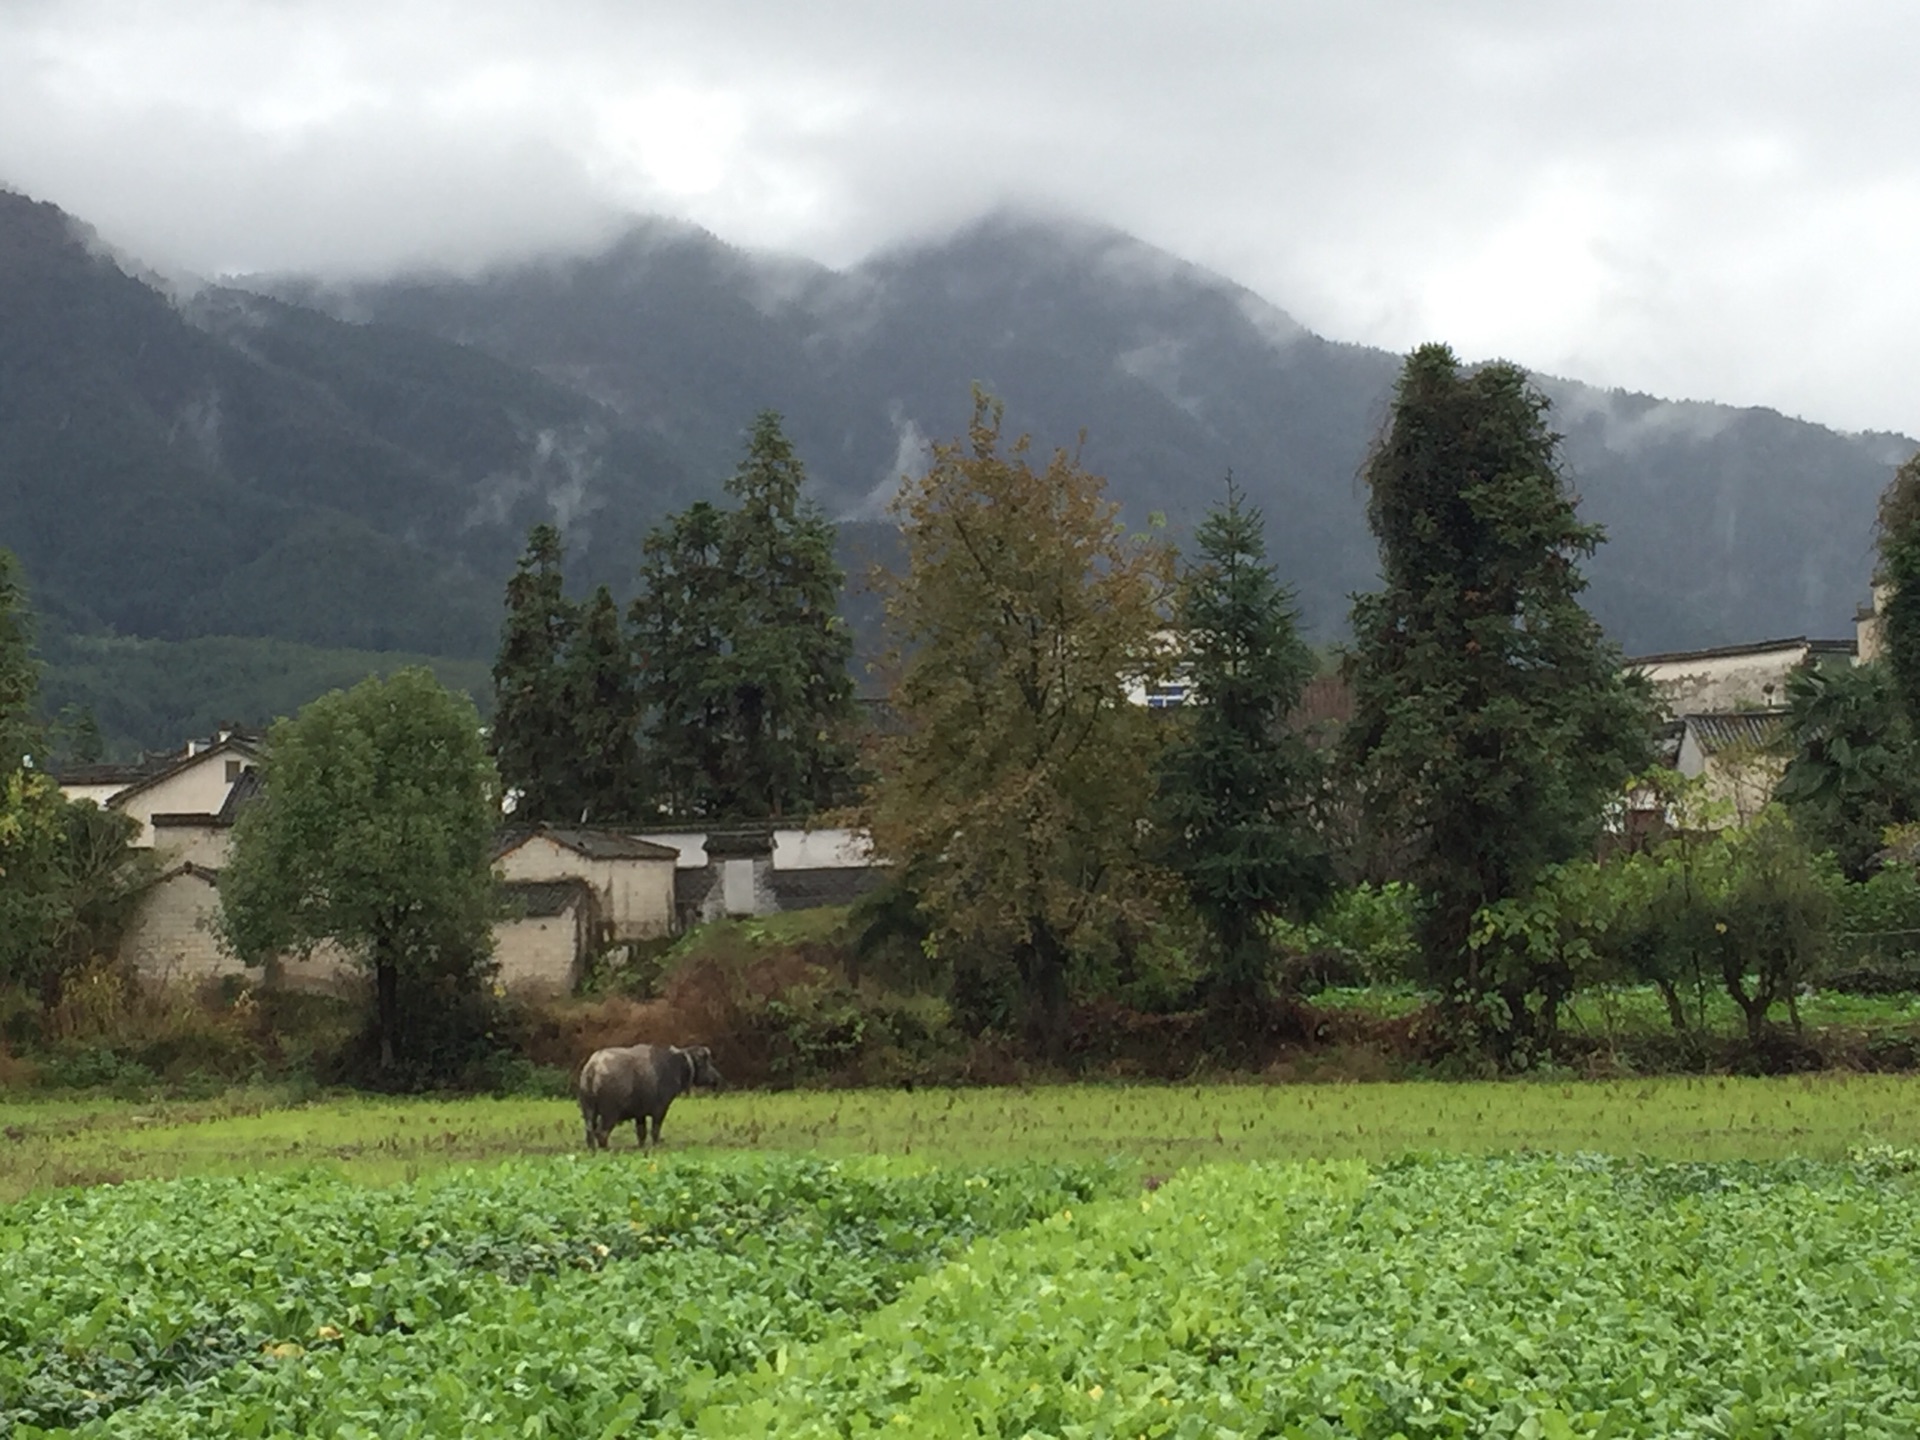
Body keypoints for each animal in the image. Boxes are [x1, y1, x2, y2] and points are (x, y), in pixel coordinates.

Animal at [576, 1044, 721, 1159]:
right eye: (704, 1062)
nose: (716, 1077)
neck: (674, 1065)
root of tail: (593, 1067)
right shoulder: (660, 1109)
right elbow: (655, 1130)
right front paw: (656, 1146)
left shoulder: (640, 1114)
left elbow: (641, 1133)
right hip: (610, 1113)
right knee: (601, 1133)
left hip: (588, 1110)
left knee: (589, 1131)